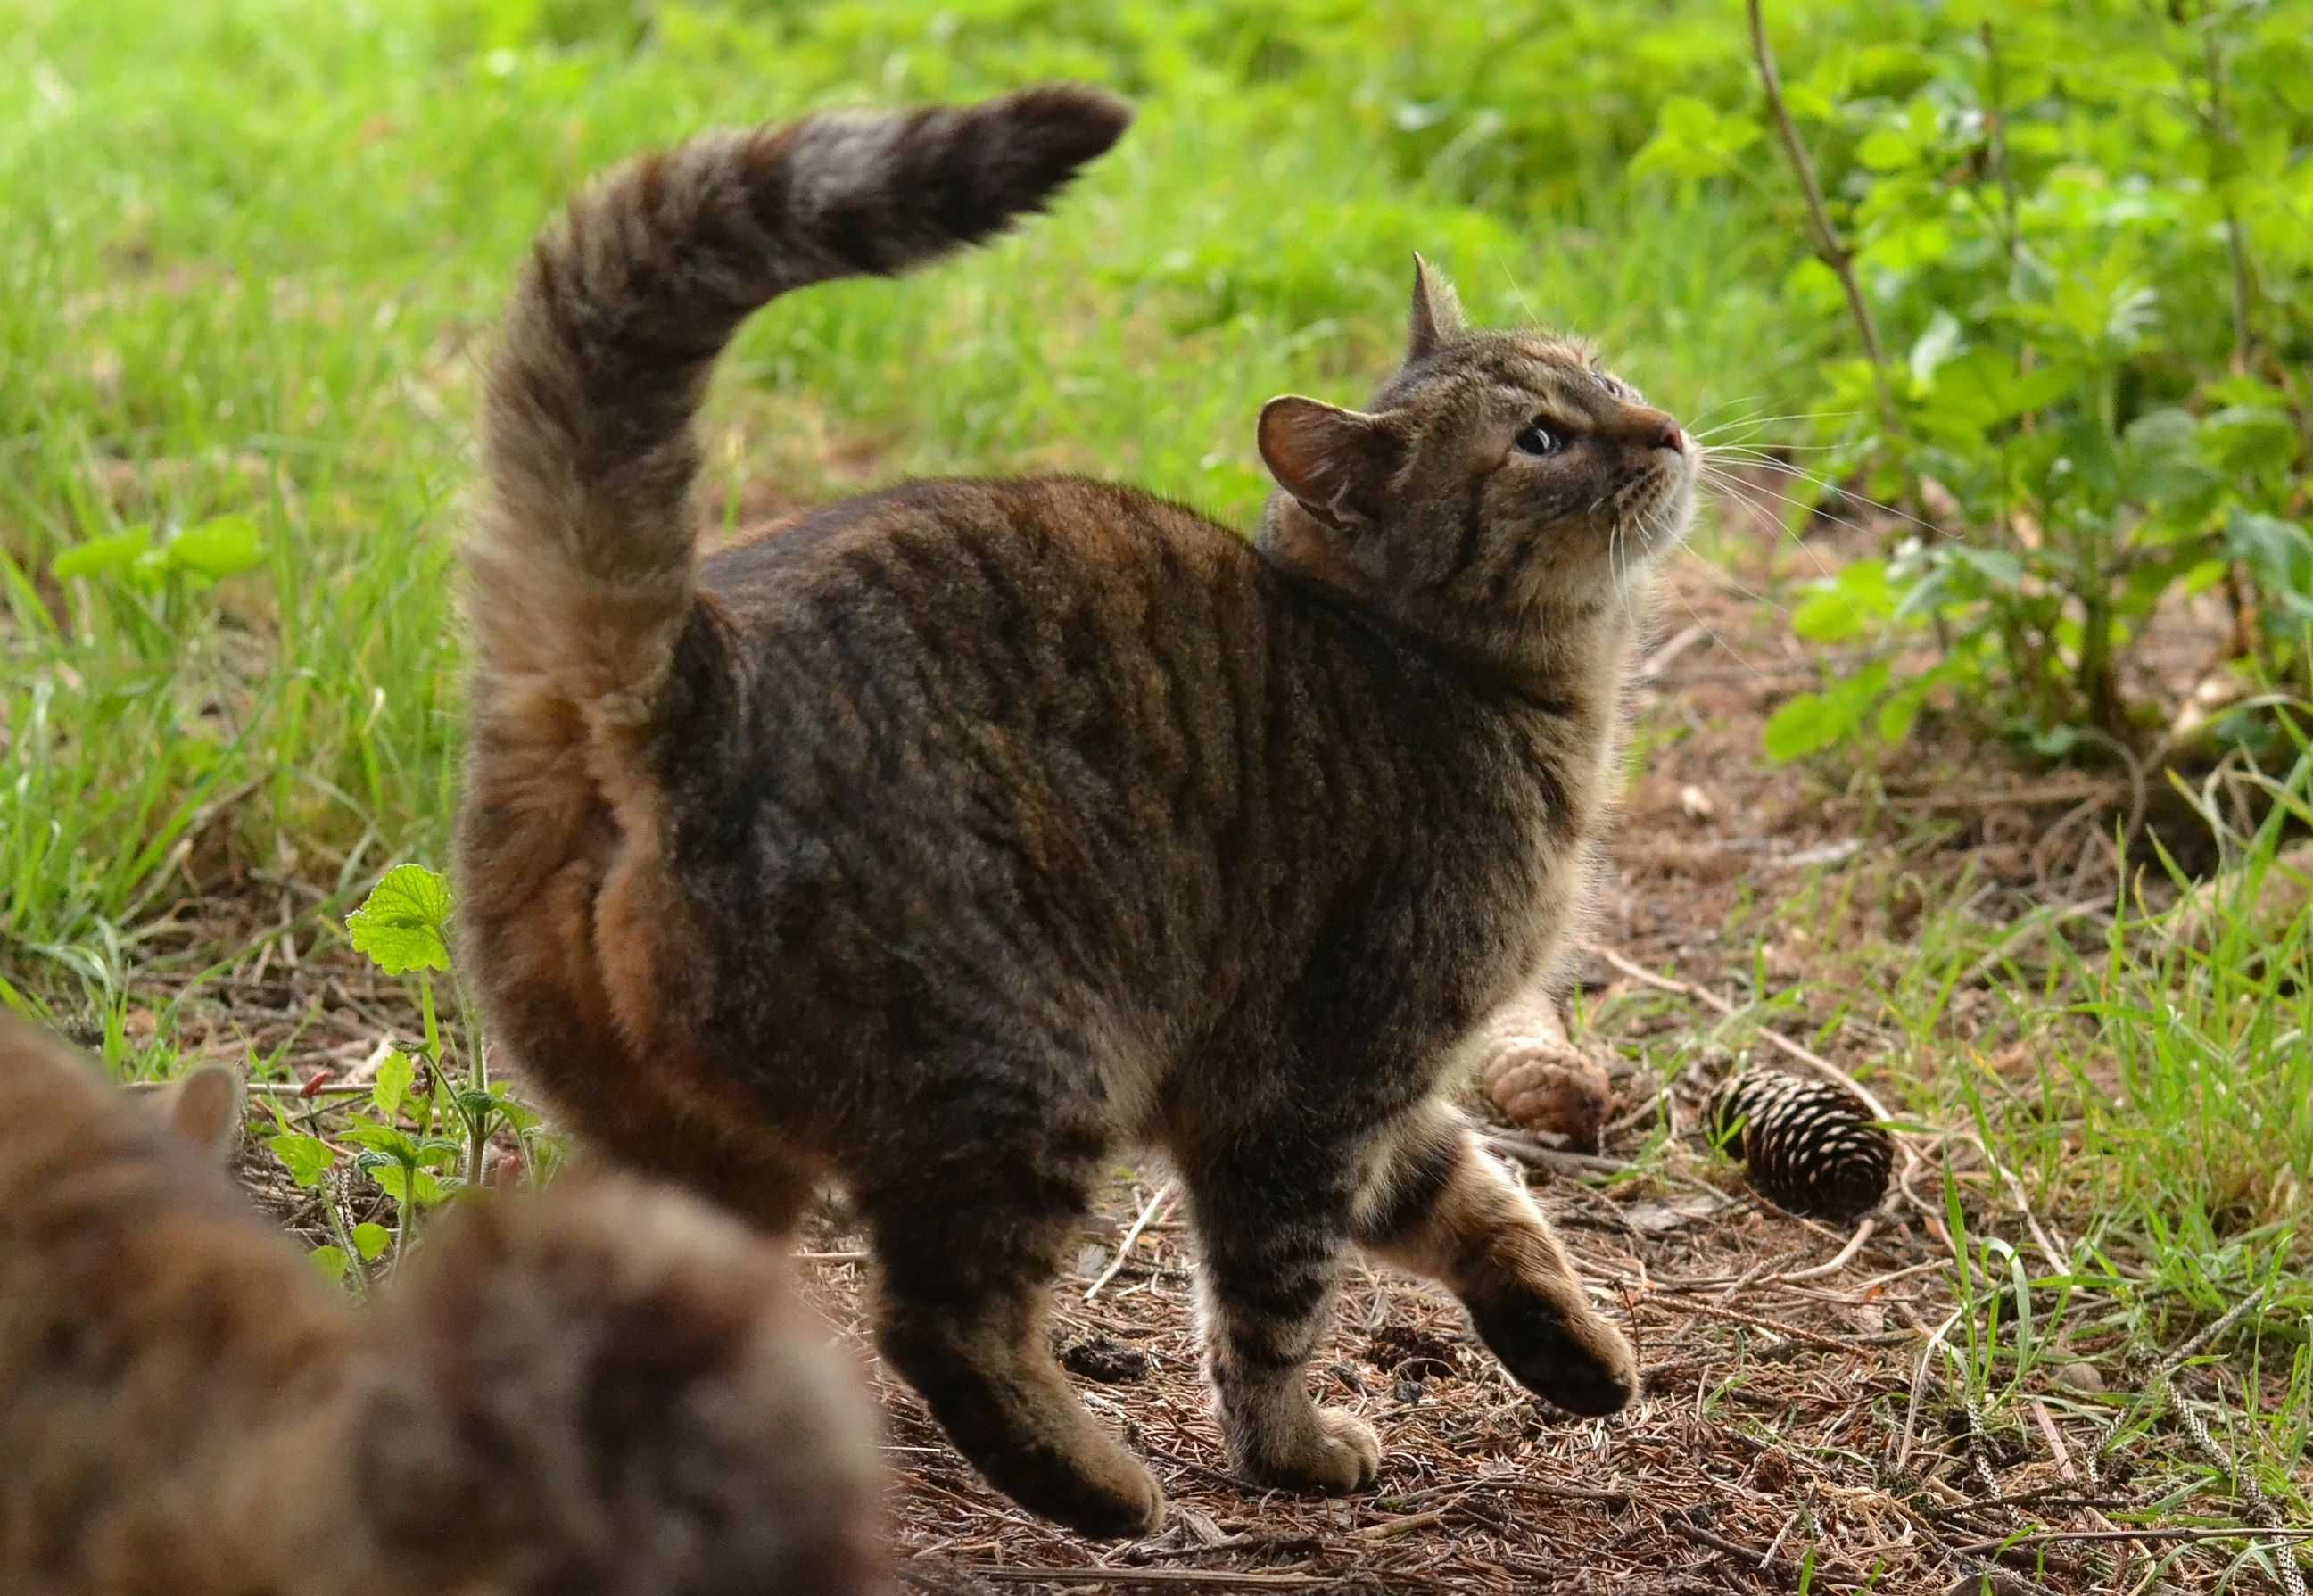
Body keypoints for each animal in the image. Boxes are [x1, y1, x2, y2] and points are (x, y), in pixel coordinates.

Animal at [455, 80, 1683, 1535]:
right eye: (1543, 439)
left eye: (1601, 376)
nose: (1666, 428)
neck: (1458, 671)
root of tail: (684, 667)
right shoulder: (1308, 1092)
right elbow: (1274, 1310)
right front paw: (1292, 1448)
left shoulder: (1382, 1104)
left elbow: (1487, 1204)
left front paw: (1580, 1349)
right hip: (1027, 1079)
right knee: (941, 1323)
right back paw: (1095, 1480)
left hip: (696, 1147)